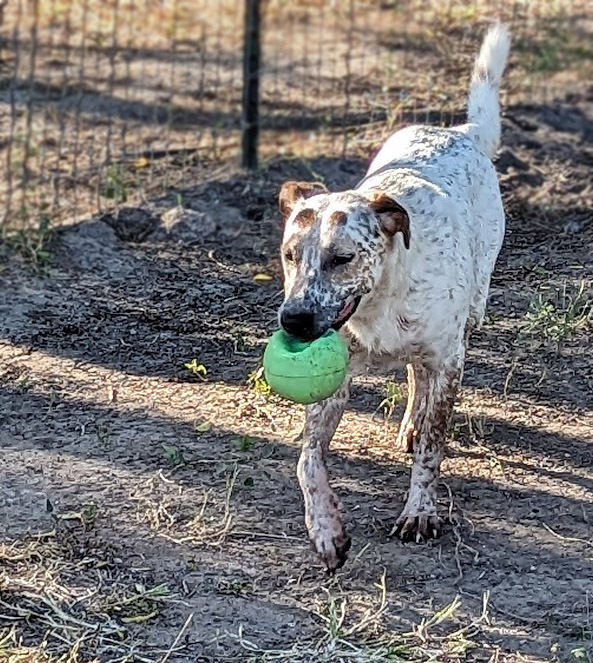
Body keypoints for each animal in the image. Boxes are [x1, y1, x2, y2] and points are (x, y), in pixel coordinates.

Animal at [276, 26, 512, 572]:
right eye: (290, 255)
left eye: (342, 258)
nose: (293, 320)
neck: (379, 304)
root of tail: (461, 131)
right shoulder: (334, 385)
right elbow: (307, 461)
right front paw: (325, 528)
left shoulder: (448, 359)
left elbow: (432, 446)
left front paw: (419, 511)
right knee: (411, 376)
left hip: (471, 313)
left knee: (424, 383)